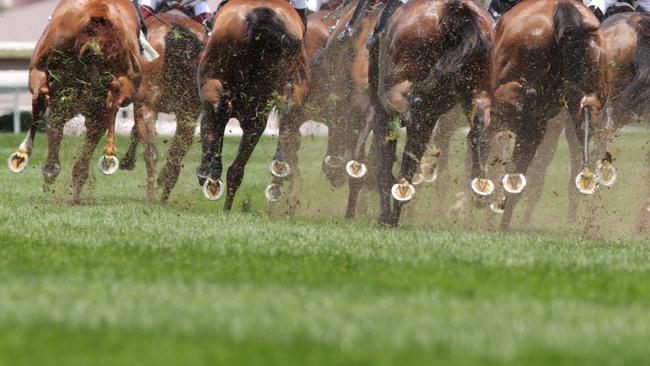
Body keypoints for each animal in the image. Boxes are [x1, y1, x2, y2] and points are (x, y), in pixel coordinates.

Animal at [6, 0, 141, 203]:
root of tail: (100, 13)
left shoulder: (41, 77)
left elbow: (43, 113)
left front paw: (24, 156)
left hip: (44, 75)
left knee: (45, 108)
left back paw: (48, 169)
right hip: (111, 94)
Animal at [118, 12, 205, 202]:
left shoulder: (142, 105)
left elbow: (136, 133)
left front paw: (128, 160)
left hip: (148, 106)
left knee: (151, 153)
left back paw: (151, 198)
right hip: (189, 112)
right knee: (177, 153)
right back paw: (164, 192)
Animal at [194, 0, 308, 210]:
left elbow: (208, 129)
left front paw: (205, 170)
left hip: (213, 82)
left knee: (219, 114)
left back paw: (212, 174)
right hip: (264, 108)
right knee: (237, 170)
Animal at [368, 0, 494, 226]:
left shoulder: (381, 112)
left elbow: (385, 163)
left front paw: (385, 214)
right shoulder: (431, 115)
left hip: (396, 93)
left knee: (411, 122)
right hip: (478, 91)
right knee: (477, 130)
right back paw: (480, 188)